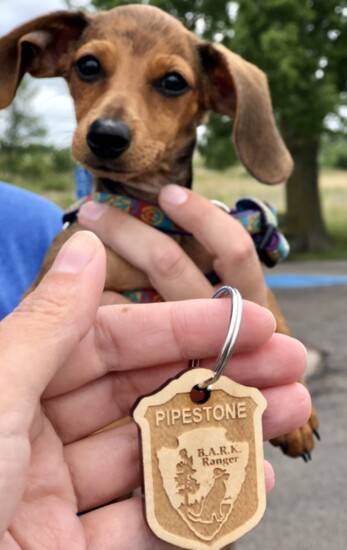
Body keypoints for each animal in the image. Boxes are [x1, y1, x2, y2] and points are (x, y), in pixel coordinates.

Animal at [0, 5, 318, 462]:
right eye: (88, 66)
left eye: (173, 82)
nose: (106, 136)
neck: (153, 214)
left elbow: (270, 308)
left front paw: (300, 420)